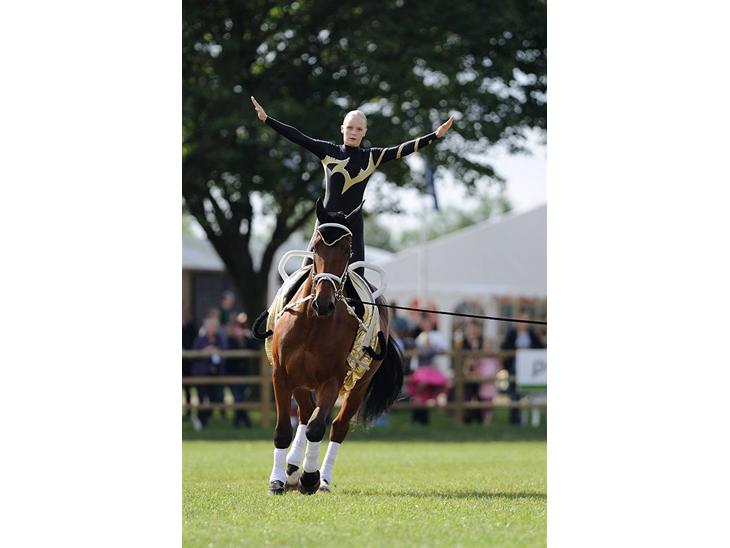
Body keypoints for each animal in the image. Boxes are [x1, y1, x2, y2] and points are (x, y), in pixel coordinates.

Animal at [263, 199, 403, 495]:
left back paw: (322, 479)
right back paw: (291, 468)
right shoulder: (281, 375)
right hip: (300, 381)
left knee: (337, 426)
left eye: (347, 250)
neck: (312, 322)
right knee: (304, 415)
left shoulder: (332, 380)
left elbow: (318, 427)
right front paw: (277, 480)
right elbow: (283, 430)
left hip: (359, 385)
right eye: (315, 246)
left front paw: (310, 478)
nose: (324, 303)